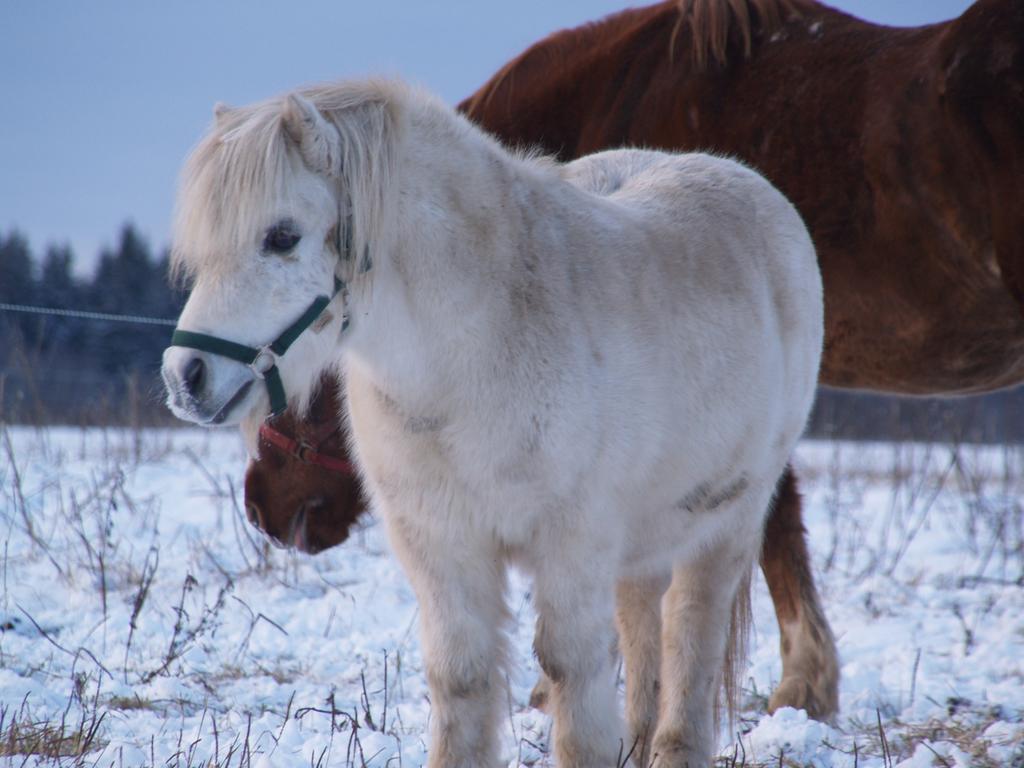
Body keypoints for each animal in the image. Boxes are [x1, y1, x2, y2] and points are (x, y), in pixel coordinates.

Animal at [161, 79, 823, 768]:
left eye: (283, 236)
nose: (186, 377)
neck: (476, 350)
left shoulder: (572, 543)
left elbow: (571, 673)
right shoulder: (441, 546)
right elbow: (462, 676)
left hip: (728, 521)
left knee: (691, 634)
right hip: (646, 537)